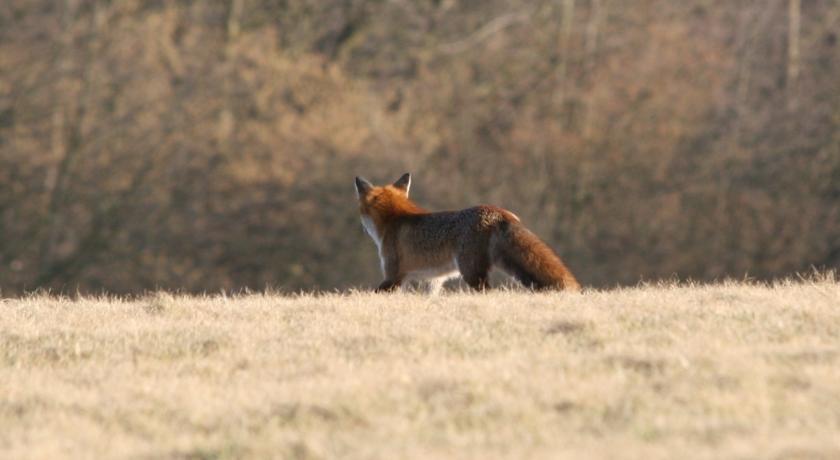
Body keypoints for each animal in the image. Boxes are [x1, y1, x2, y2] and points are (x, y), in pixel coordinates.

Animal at [352, 172, 576, 294]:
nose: (360, 228)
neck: (394, 219)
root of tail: (497, 211)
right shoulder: (432, 281)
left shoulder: (393, 276)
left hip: (471, 272)